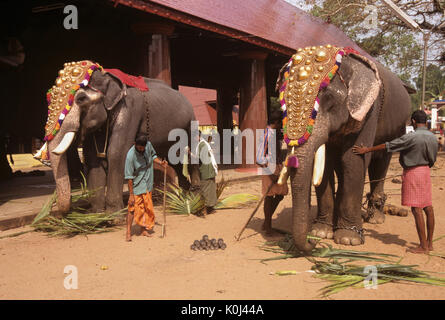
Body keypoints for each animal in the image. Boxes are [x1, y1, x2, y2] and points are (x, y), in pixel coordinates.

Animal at [34, 61, 194, 214]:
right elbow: (93, 157)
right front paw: (97, 214)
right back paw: (182, 199)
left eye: (81, 98)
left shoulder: (130, 110)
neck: (105, 75)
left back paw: (193, 199)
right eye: (48, 99)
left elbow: (117, 153)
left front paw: (114, 216)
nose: (53, 206)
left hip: (191, 122)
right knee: (175, 158)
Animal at [276, 45, 412, 251]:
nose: (311, 242)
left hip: (397, 128)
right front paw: (321, 233)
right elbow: (326, 165)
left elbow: (352, 159)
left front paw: (348, 240)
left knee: (381, 161)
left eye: (329, 99)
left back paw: (375, 219)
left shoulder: (369, 110)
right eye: (283, 103)